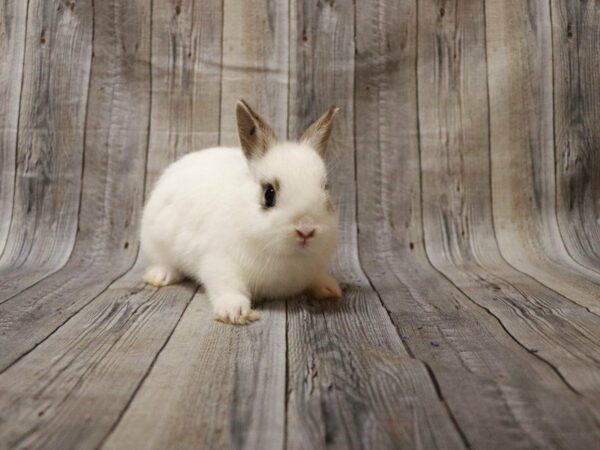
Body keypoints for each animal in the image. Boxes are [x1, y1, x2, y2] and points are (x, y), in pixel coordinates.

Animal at [138, 99, 340, 324]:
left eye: (326, 189)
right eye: (269, 194)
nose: (306, 230)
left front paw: (329, 289)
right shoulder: (219, 262)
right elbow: (227, 287)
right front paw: (235, 312)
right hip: (155, 242)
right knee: (163, 262)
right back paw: (161, 276)